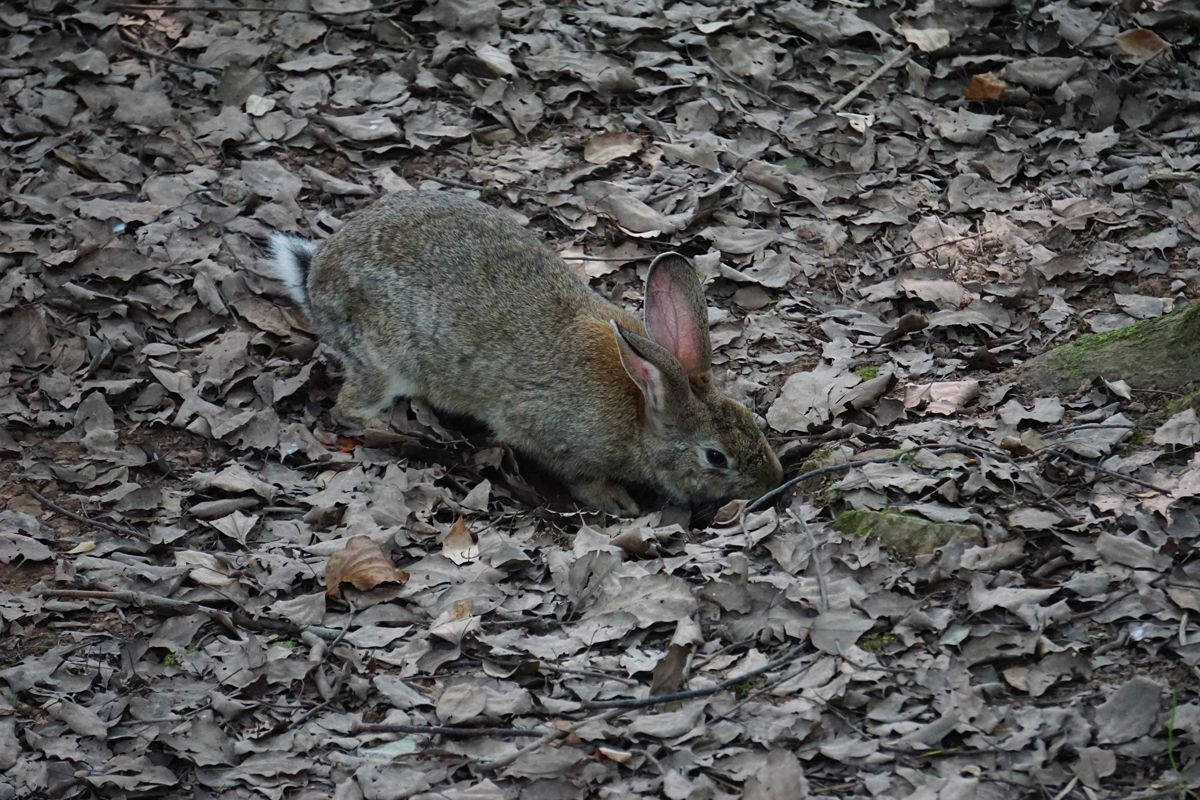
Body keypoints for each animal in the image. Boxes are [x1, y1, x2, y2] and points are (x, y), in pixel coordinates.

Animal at [267, 191, 782, 516]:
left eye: (753, 421)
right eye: (715, 457)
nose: (773, 484)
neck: (642, 412)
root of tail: (315, 279)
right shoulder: (546, 435)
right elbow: (575, 474)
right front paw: (615, 500)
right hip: (385, 359)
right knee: (348, 407)